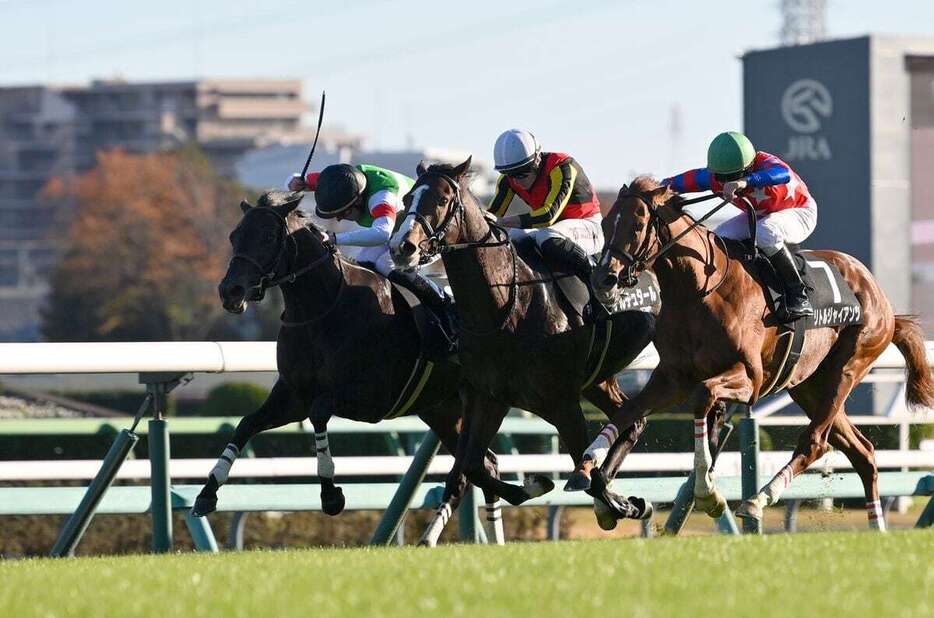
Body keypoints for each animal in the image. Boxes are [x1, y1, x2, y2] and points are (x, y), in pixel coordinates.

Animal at [190, 192, 504, 540]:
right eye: (234, 236)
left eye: (269, 236)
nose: (230, 291)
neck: (321, 308)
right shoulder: (293, 396)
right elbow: (247, 423)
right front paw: (207, 492)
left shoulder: (372, 397)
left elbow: (319, 414)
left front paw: (330, 494)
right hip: (441, 408)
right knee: (482, 465)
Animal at [388, 158, 660, 536]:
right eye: (408, 198)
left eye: (442, 200)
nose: (402, 247)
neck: (506, 304)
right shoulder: (489, 397)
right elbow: (473, 466)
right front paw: (536, 485)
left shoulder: (562, 402)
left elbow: (584, 468)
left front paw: (619, 504)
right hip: (598, 379)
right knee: (632, 422)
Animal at [580, 176, 932, 528]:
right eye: (606, 223)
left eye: (638, 225)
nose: (603, 279)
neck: (699, 290)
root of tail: (881, 298)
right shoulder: (672, 378)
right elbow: (629, 411)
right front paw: (591, 469)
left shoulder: (749, 378)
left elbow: (704, 398)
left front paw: (707, 492)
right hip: (808, 386)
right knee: (863, 452)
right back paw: (877, 527)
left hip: (848, 367)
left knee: (815, 442)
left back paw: (759, 499)